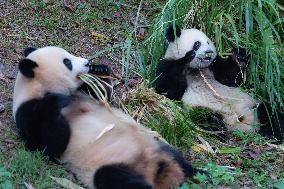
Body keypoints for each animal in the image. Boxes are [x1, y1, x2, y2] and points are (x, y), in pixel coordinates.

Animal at [13, 46, 200, 189]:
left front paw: (100, 69)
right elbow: (50, 144)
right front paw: (57, 100)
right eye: (67, 62)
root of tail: (159, 170)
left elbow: (103, 93)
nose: (87, 63)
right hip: (113, 164)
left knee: (178, 158)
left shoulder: (86, 94)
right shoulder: (27, 112)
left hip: (155, 142)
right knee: (113, 178)